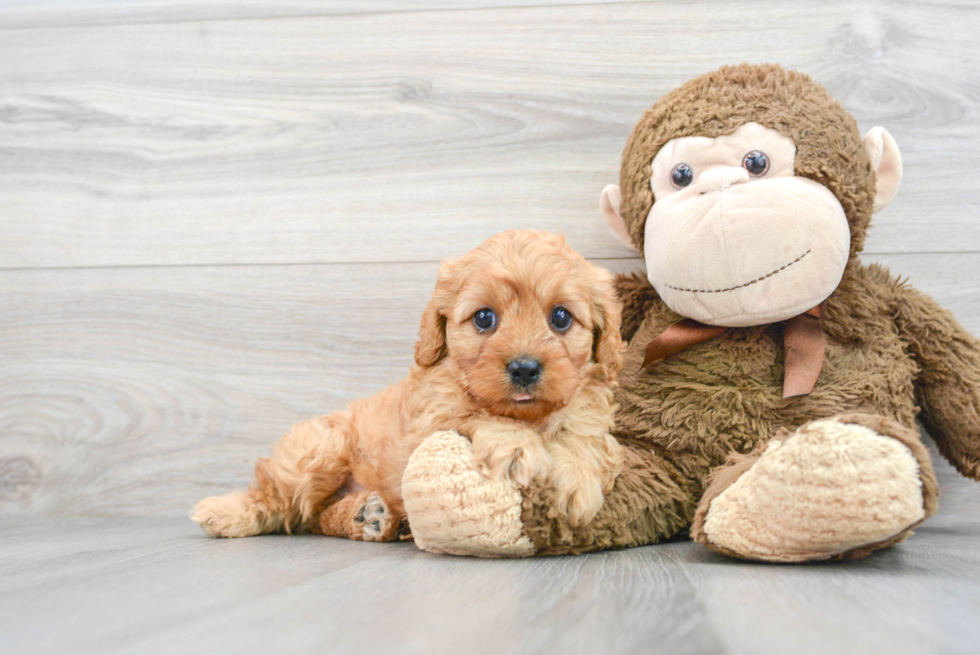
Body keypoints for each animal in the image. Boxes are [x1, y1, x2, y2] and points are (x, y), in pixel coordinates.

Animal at [192, 232, 624, 544]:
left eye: (561, 318)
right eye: (484, 318)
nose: (524, 368)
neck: (529, 415)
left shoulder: (588, 412)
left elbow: (584, 438)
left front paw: (576, 482)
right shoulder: (431, 420)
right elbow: (476, 412)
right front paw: (517, 444)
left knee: (315, 517)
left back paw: (368, 517)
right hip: (319, 450)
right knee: (282, 502)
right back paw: (228, 513)